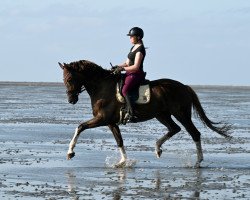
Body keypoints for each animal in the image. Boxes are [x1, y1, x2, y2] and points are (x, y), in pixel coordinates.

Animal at [58, 59, 230, 167]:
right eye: (63, 80)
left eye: (70, 79)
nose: (71, 100)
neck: (102, 86)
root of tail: (184, 86)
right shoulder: (111, 122)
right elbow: (119, 141)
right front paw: (123, 162)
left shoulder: (102, 119)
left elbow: (80, 127)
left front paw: (70, 152)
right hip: (162, 115)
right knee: (174, 129)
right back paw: (158, 149)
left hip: (181, 114)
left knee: (194, 133)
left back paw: (197, 162)